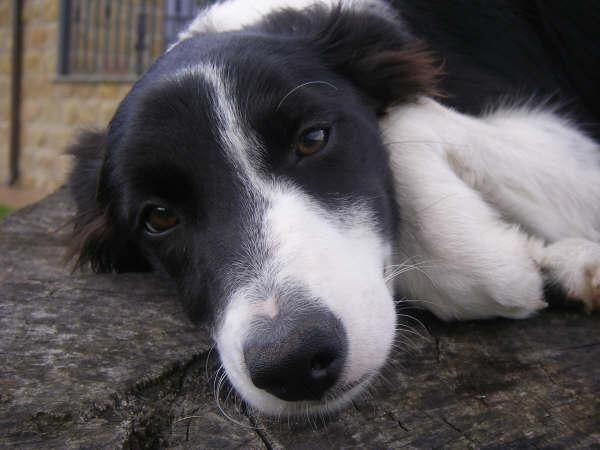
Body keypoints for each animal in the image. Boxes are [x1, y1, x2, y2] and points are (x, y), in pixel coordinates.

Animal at [65, 0, 600, 416]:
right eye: (158, 217)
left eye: (314, 138)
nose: (293, 363)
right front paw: (555, 264)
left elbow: (402, 119)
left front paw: (535, 265)